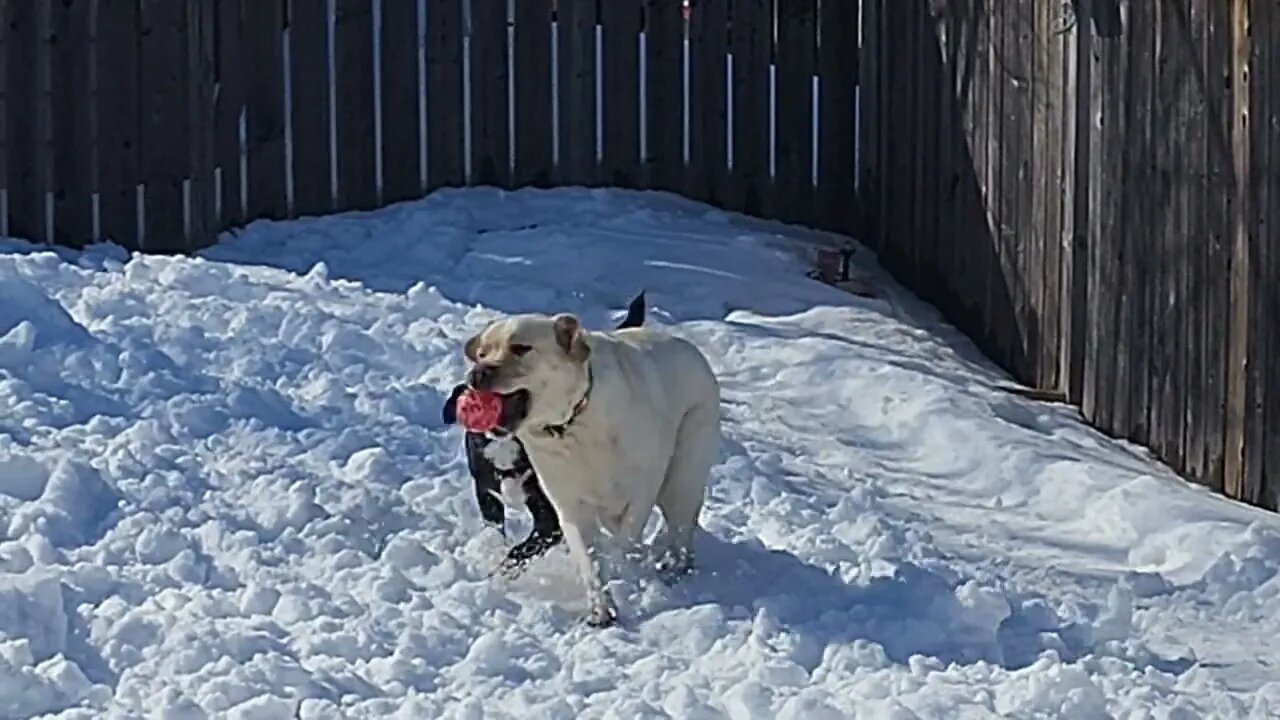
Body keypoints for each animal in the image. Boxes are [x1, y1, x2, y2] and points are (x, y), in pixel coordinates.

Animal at [442, 289, 645, 571]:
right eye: (481, 354)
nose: (477, 373)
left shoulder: (549, 520)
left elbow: (518, 551)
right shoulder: (487, 497)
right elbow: (497, 534)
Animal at [463, 311, 721, 625]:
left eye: (521, 348)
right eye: (482, 353)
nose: (476, 374)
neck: (570, 425)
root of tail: (691, 349)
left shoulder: (640, 495)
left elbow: (622, 545)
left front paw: (625, 574)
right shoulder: (570, 508)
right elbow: (590, 560)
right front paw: (601, 607)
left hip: (683, 473)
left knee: (680, 524)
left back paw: (675, 563)